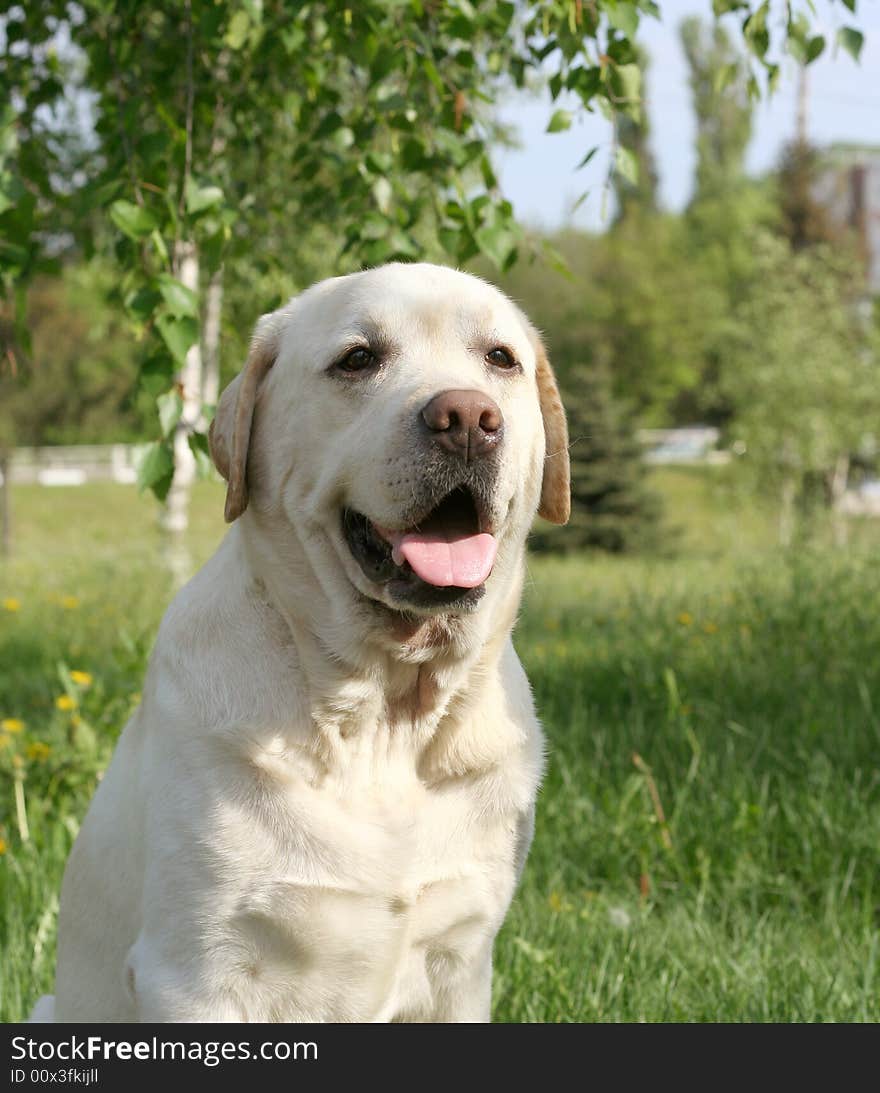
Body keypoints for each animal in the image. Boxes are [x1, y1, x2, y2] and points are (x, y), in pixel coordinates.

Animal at [30, 260, 568, 1018]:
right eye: (358, 359)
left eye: (500, 359)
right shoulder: (193, 970)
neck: (384, 716)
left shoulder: (463, 963)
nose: (468, 419)